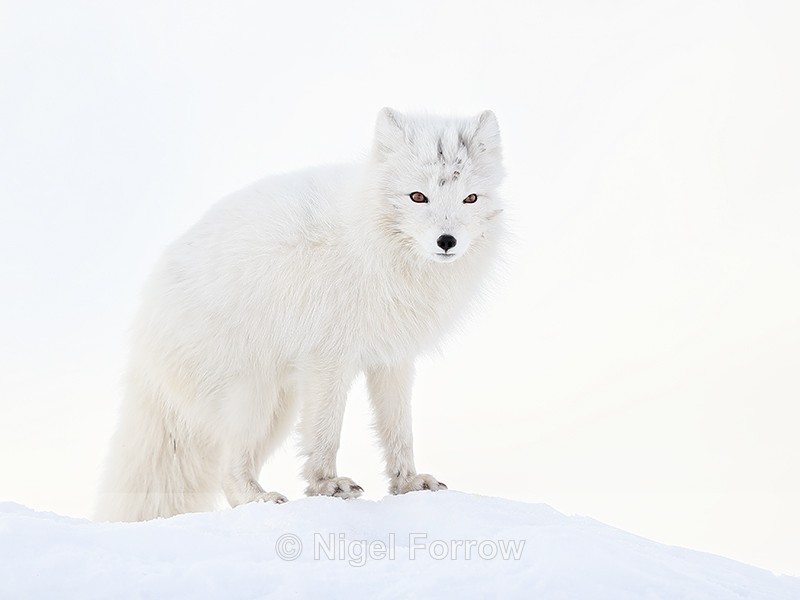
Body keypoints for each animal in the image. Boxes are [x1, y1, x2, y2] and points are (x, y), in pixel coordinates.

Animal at [96, 108, 506, 521]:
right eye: (418, 197)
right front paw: (327, 485)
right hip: (252, 395)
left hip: (278, 408)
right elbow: (325, 432)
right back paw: (261, 500)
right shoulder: (327, 360)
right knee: (229, 471)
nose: (447, 241)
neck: (377, 250)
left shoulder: (393, 359)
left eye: (470, 198)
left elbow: (398, 431)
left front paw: (407, 483)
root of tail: (145, 320)